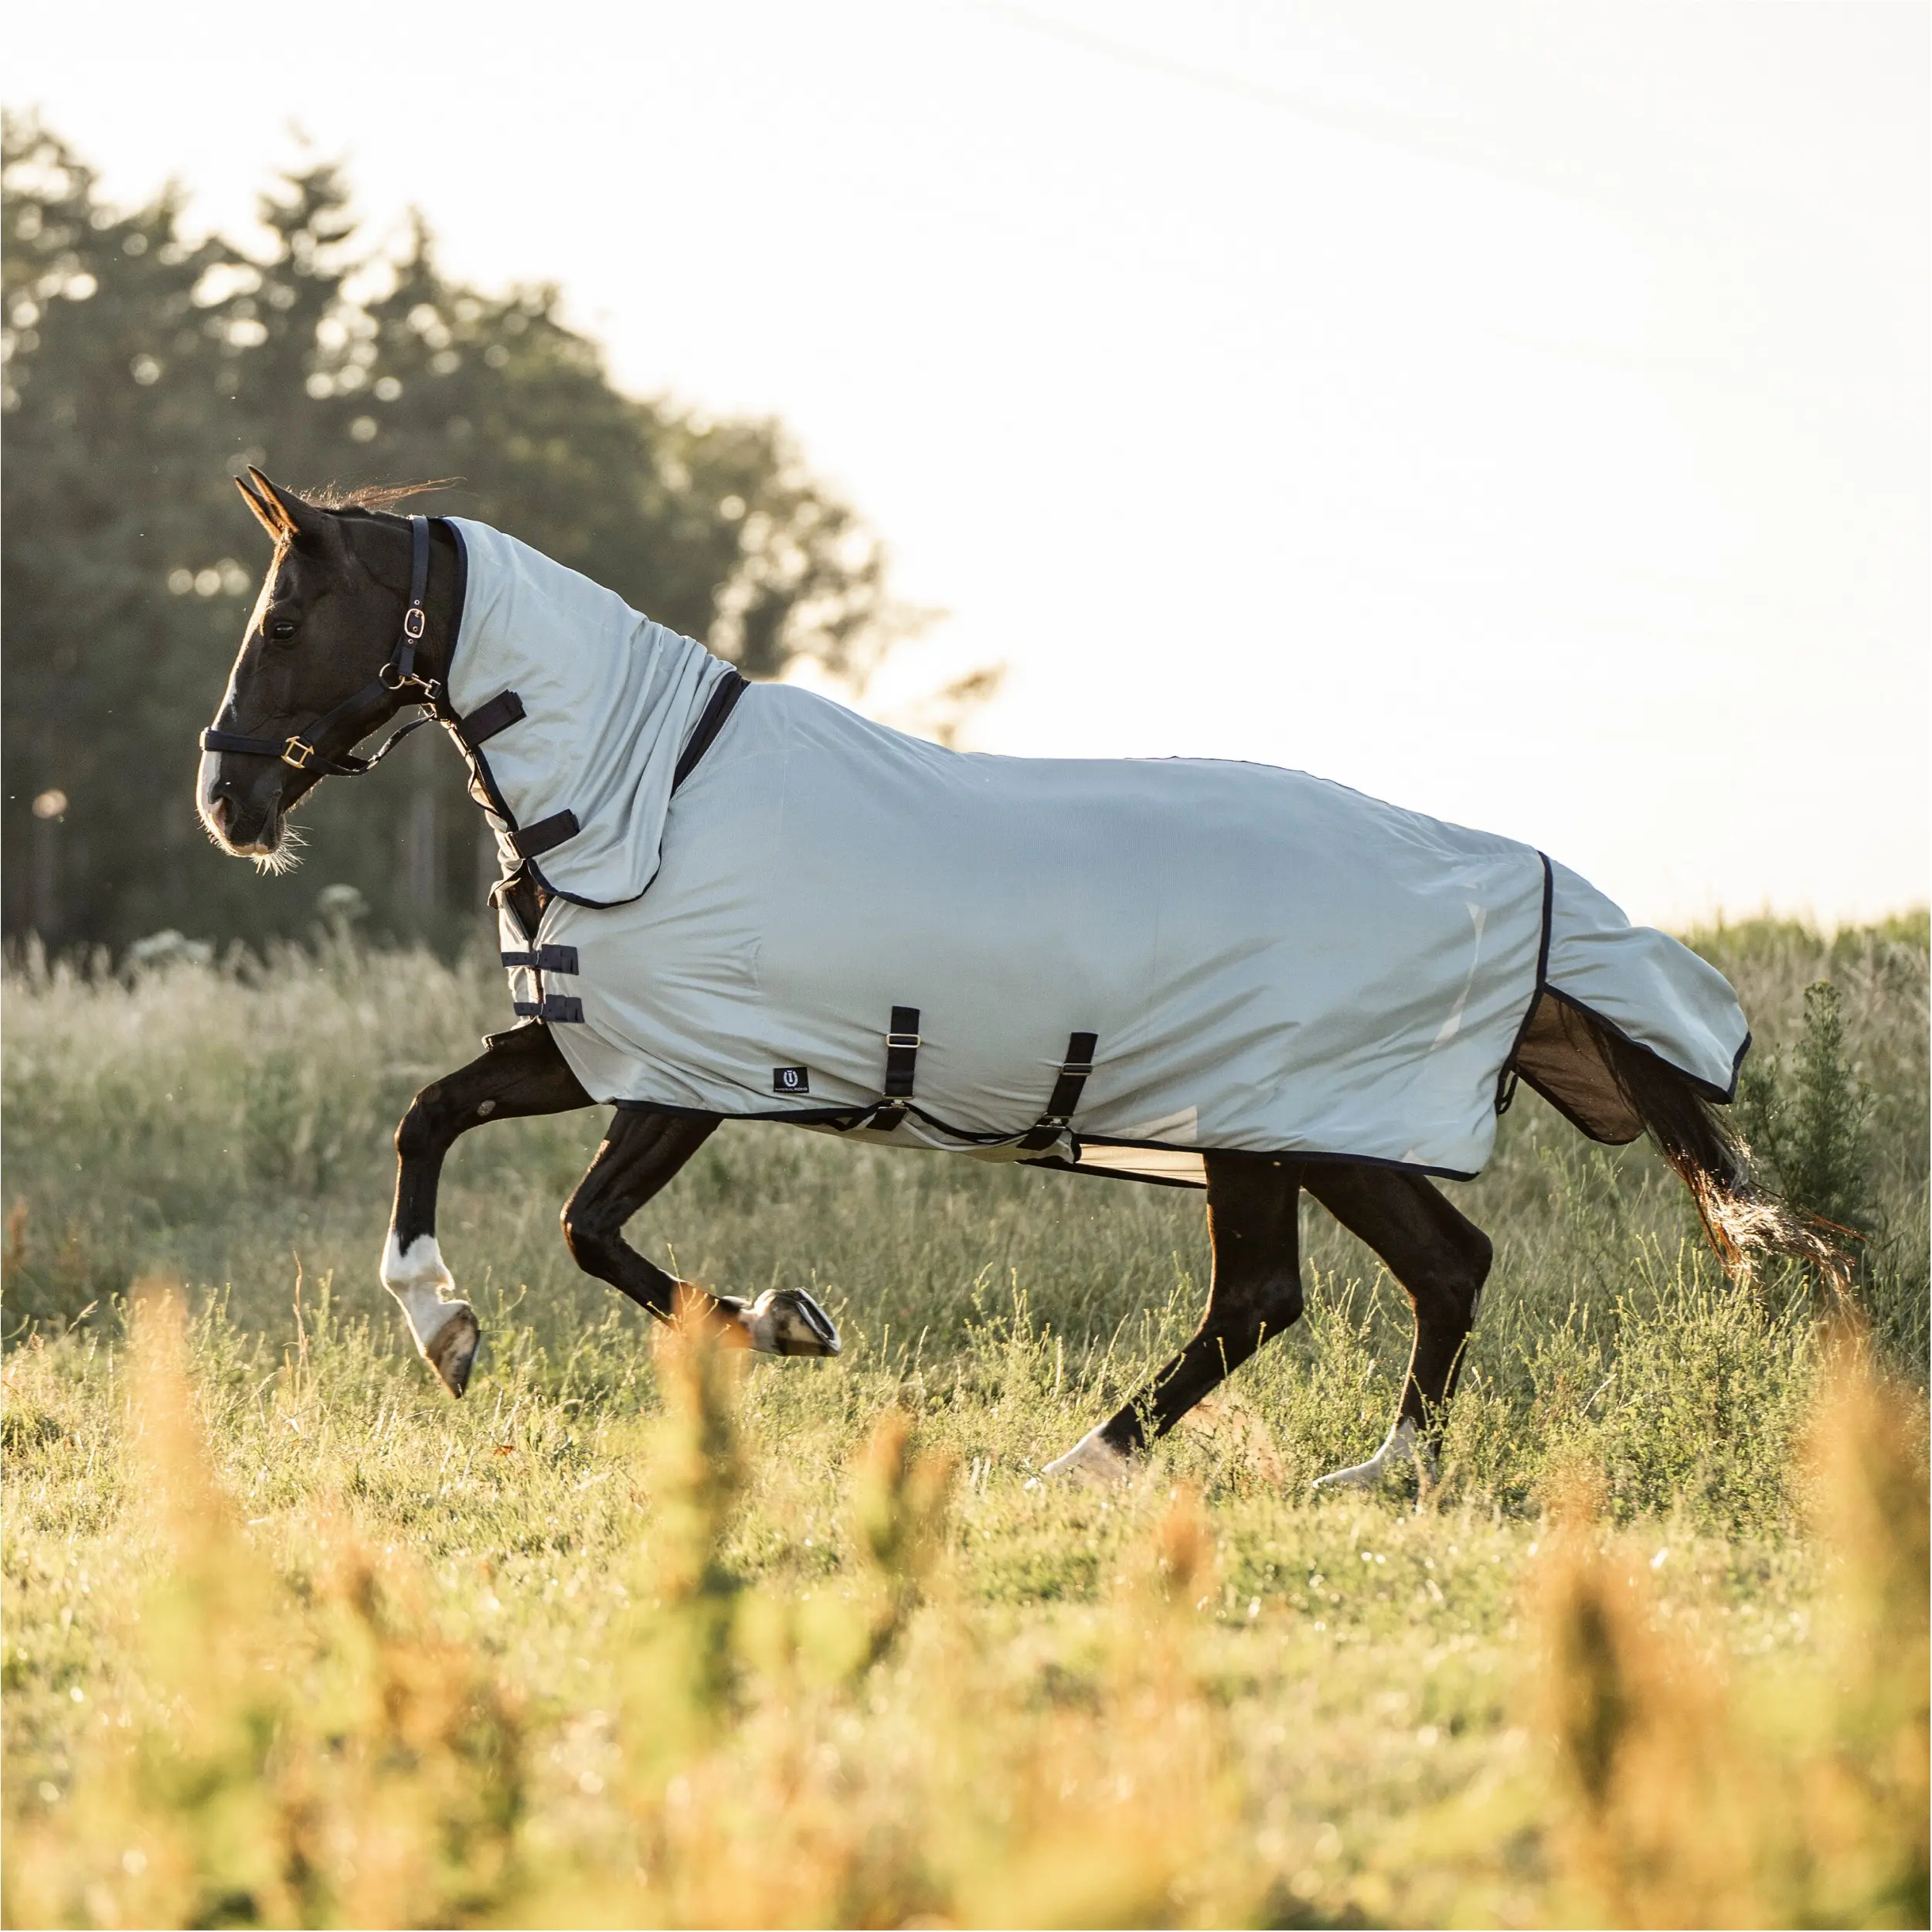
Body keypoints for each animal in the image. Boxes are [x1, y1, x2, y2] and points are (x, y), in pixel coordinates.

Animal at [196, 475, 1824, 1484]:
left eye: (286, 618)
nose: (228, 801)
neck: (651, 790)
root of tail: (1521, 888)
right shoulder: (602, 1047)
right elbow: (427, 1118)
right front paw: (445, 1331)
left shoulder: (694, 1079)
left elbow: (590, 1232)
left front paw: (781, 1324)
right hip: (1308, 1133)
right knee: (1419, 1274)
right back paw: (1370, 1473)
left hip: (1283, 1128)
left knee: (1292, 1294)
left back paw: (1093, 1466)